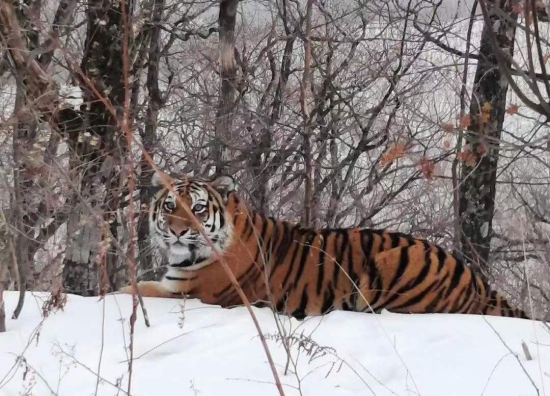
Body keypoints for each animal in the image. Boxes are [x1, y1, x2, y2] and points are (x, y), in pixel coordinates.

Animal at [119, 172, 532, 320]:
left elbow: (129, 289)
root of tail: (477, 280)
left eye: (198, 209)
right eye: (170, 207)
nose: (176, 231)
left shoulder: (188, 293)